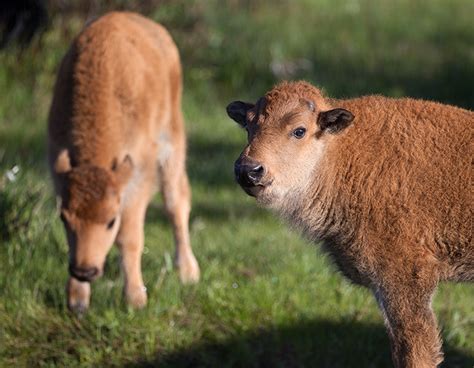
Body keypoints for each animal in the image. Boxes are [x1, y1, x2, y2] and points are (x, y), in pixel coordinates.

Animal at [49, 11, 200, 312]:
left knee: (176, 203)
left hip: (172, 145)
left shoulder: (138, 177)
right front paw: (77, 301)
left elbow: (129, 237)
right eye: (64, 218)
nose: (84, 270)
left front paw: (135, 299)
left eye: (110, 221)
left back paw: (188, 272)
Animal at [228, 81, 472, 368]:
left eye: (299, 130)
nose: (248, 170)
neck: (340, 153)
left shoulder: (405, 280)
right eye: (248, 126)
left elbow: (416, 351)